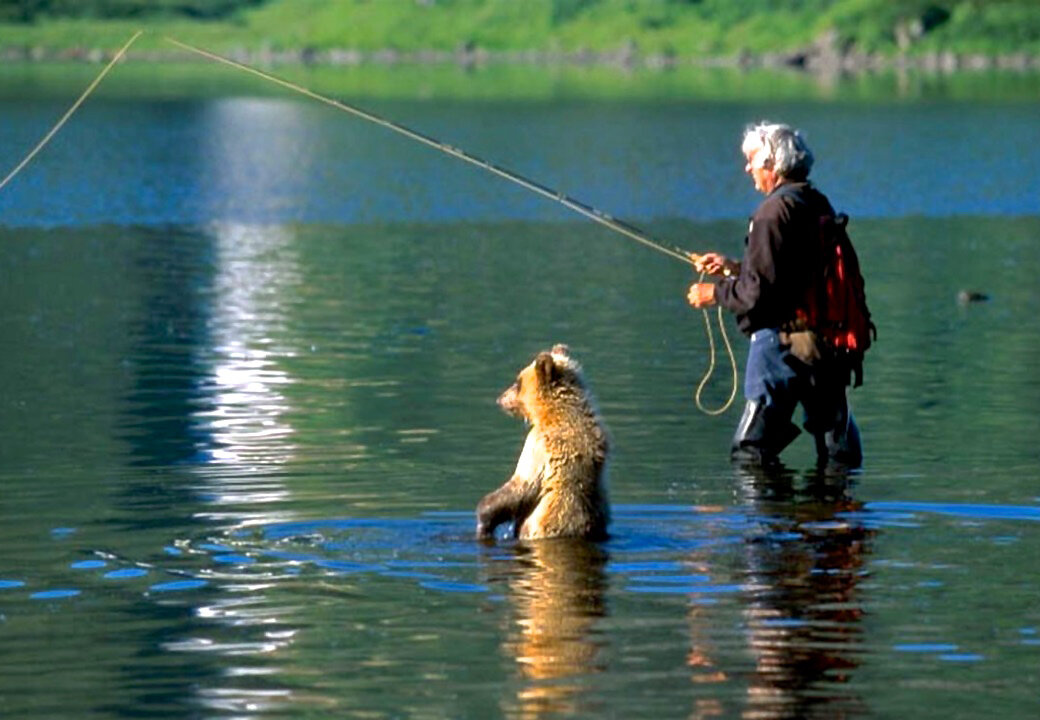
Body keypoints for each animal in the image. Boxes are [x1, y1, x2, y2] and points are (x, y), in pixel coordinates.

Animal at [476, 343, 611, 541]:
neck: (553, 413)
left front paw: (484, 517)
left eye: (518, 382)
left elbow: (523, 485)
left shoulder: (539, 445)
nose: (500, 398)